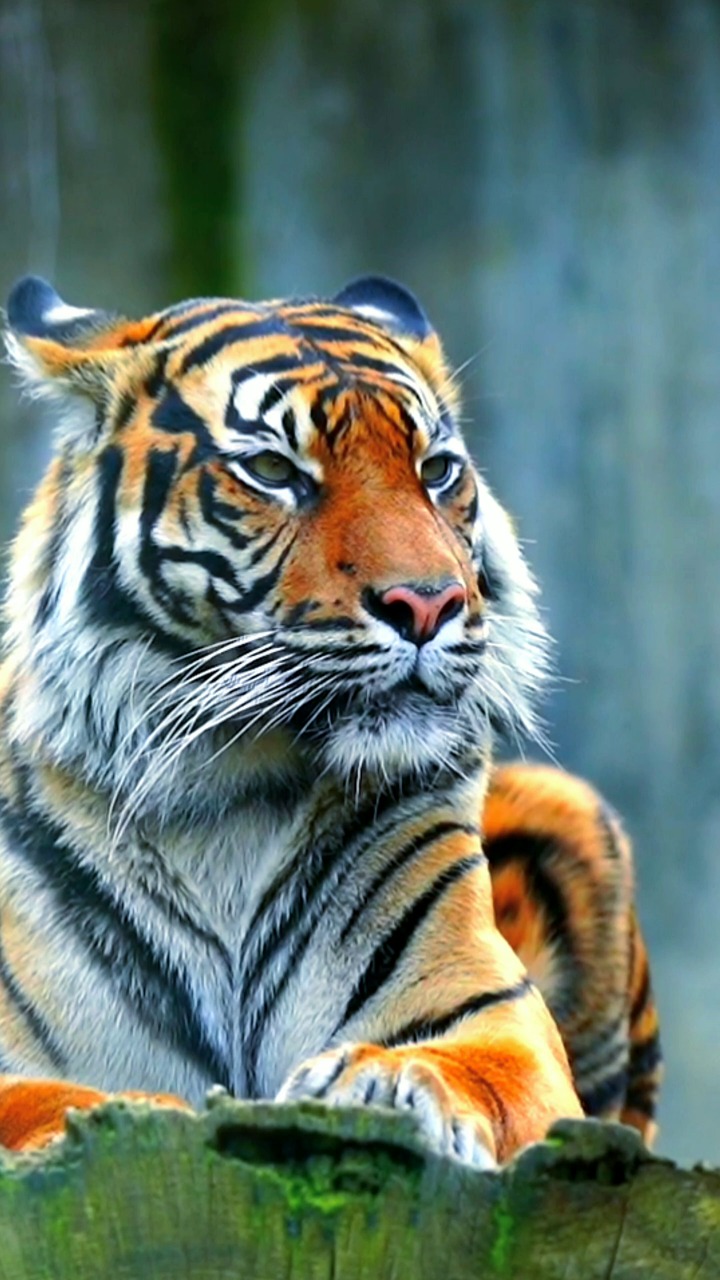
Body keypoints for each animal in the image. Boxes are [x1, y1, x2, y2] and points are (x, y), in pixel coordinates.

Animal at [0, 272, 661, 1164]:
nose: (430, 603)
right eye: (274, 470)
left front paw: (384, 1079)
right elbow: (38, 1099)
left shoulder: (496, 1018)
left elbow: (477, 1066)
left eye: (436, 469)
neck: (223, 798)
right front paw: (121, 1123)